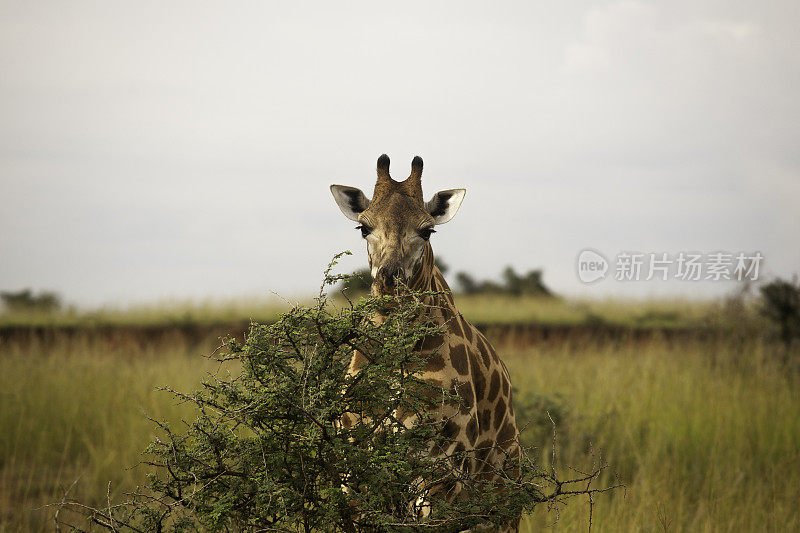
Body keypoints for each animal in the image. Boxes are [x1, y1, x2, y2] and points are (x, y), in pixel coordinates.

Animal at [330, 153, 520, 528]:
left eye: (427, 230)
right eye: (363, 228)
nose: (389, 282)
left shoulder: (444, 468)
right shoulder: (355, 463)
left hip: (500, 504)